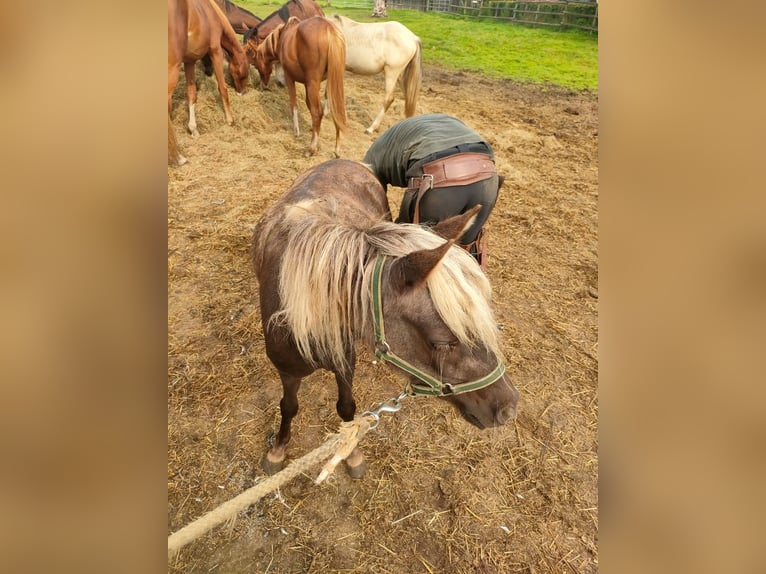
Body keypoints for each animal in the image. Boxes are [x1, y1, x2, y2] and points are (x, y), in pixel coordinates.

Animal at [168, 0, 249, 137]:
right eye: (246, 72)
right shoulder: (216, 51)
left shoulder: (189, 61)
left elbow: (192, 94)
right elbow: (222, 88)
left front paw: (193, 129)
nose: (241, 92)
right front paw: (230, 120)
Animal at [252, 17, 348, 159]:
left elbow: (294, 105)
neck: (282, 37)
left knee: (317, 112)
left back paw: (311, 148)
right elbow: (308, 104)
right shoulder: (307, 84)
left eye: (256, 65)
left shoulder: (290, 78)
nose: (263, 85)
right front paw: (312, 129)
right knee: (337, 112)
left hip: (314, 82)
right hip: (334, 82)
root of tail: (328, 29)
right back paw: (336, 149)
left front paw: (296, 131)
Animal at [252, 160, 520, 480]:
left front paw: (351, 453)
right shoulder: (287, 371)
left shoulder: (344, 362)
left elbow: (347, 408)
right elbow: (289, 406)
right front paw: (278, 449)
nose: (508, 408)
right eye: (441, 343)